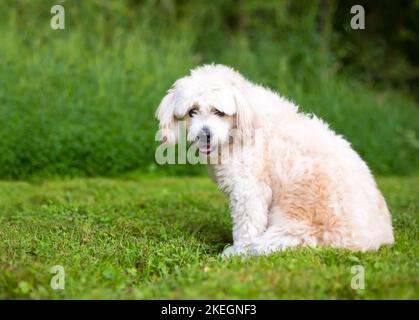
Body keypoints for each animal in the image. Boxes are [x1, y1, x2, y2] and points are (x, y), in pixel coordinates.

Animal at [156, 63, 396, 256]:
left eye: (219, 112)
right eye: (192, 111)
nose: (203, 134)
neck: (246, 121)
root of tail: (377, 241)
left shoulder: (249, 189)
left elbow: (247, 225)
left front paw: (238, 251)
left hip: (294, 228)